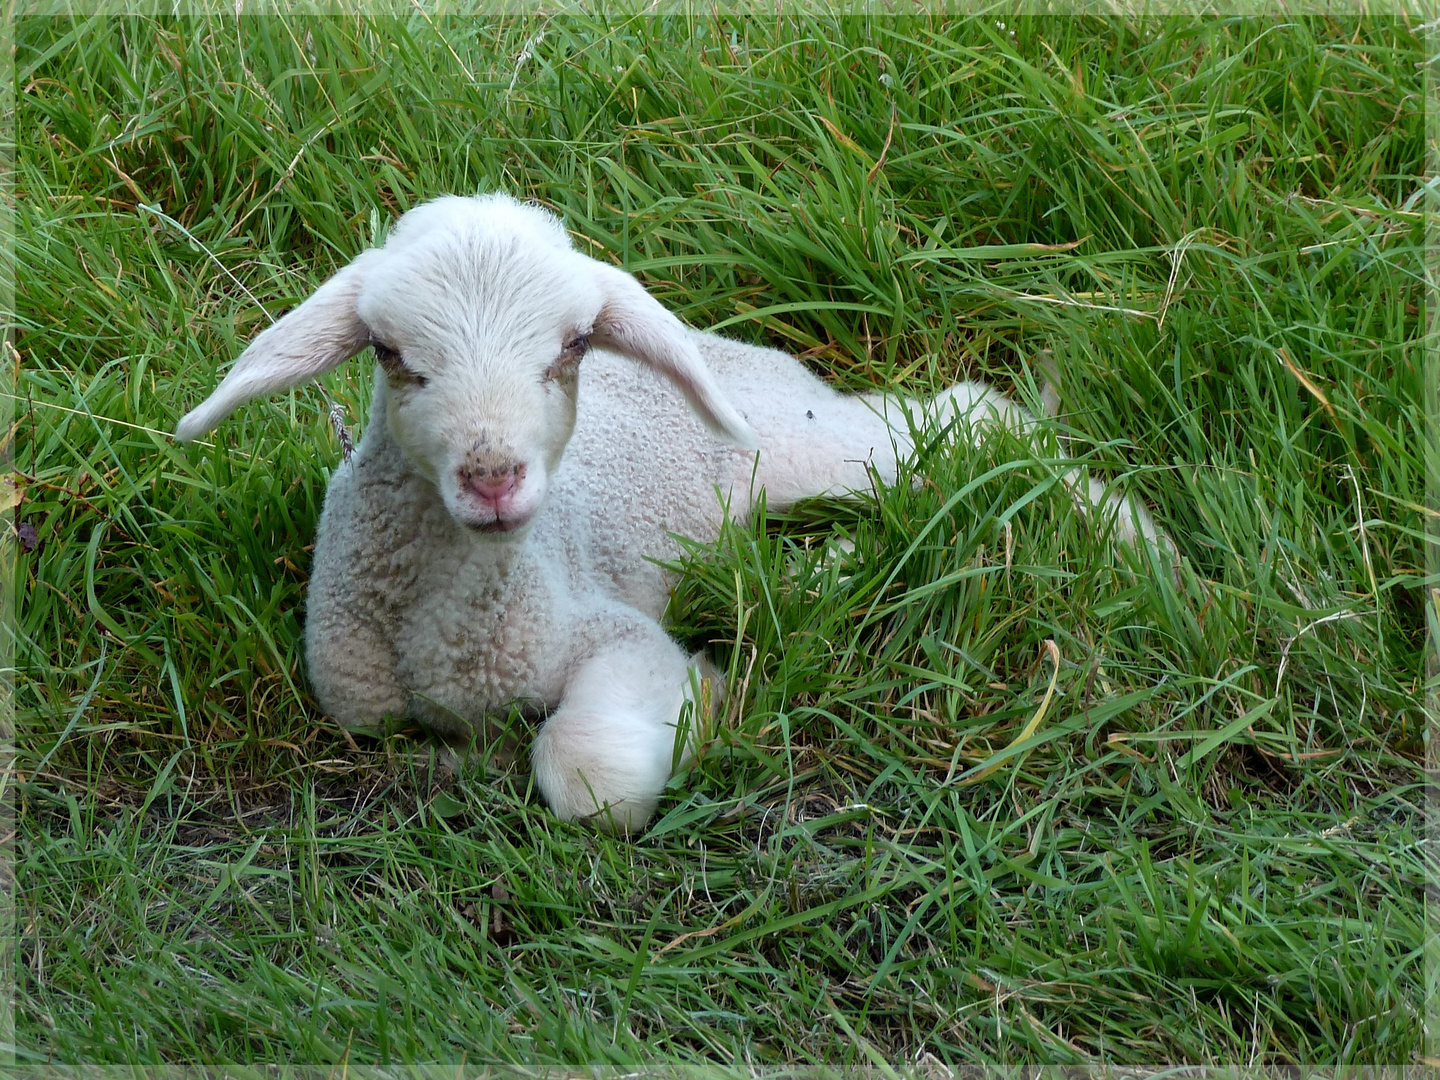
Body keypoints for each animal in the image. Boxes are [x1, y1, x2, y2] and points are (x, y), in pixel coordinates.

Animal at [177, 194, 1169, 835]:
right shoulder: (355, 701)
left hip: (795, 442)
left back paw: (1140, 547)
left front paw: (707, 700)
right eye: (388, 354)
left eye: (573, 346)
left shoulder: (608, 631)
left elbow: (590, 775)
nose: (493, 477)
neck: (451, 632)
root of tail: (715, 342)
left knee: (967, 424)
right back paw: (819, 570)